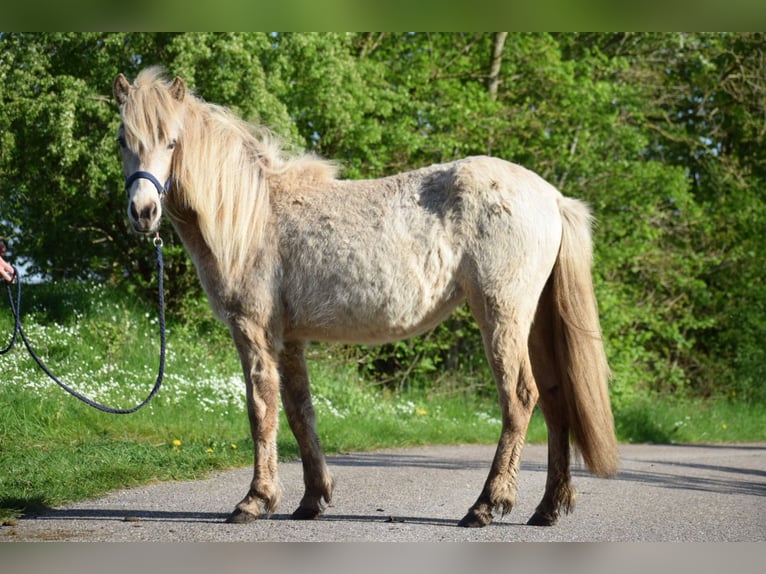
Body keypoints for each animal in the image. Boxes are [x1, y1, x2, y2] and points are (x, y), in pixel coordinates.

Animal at [113, 66, 618, 528]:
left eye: (172, 142)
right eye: (122, 140)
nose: (143, 212)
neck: (254, 214)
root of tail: (553, 197)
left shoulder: (253, 332)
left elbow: (262, 412)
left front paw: (254, 501)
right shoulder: (289, 340)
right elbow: (300, 413)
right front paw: (311, 499)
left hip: (501, 315)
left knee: (519, 398)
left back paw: (486, 506)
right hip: (534, 322)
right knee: (555, 399)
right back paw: (546, 509)